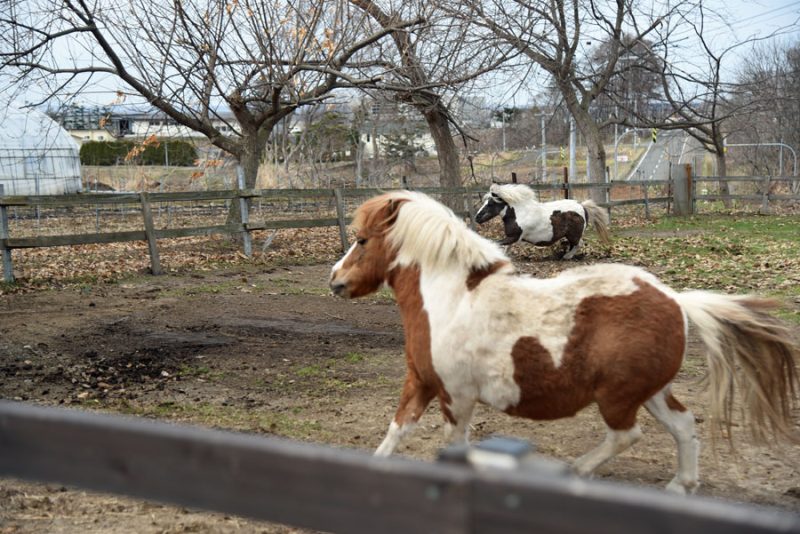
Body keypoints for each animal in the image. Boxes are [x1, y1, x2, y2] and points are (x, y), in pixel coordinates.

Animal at [328, 191, 796, 496]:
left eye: (362, 240)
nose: (335, 281)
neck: (452, 298)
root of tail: (675, 300)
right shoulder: (422, 383)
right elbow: (395, 432)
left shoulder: (456, 397)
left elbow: (454, 447)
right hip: (652, 391)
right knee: (683, 426)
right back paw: (679, 487)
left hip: (618, 397)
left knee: (626, 435)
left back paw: (576, 471)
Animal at [476, 183, 612, 260]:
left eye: (490, 204)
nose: (477, 217)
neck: (518, 213)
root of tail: (582, 206)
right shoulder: (511, 238)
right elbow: (505, 249)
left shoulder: (514, 237)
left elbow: (495, 243)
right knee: (577, 244)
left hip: (573, 235)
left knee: (579, 244)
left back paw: (566, 256)